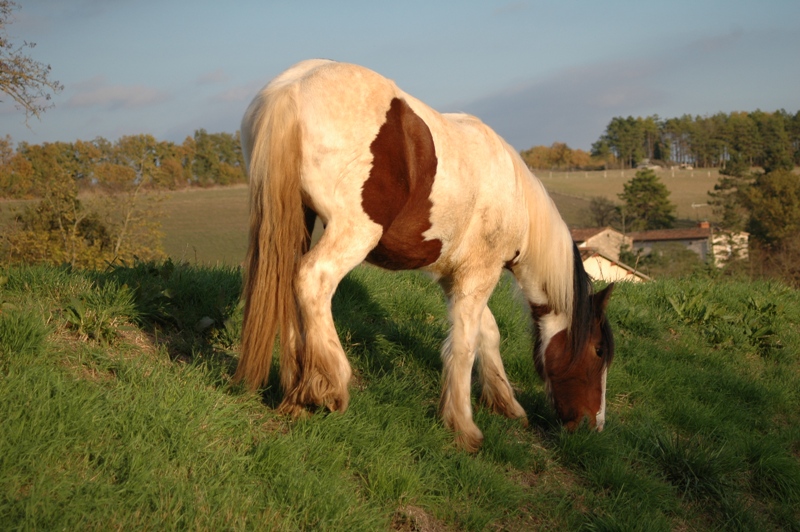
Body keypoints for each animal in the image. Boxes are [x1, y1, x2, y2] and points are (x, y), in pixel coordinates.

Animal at [234, 58, 616, 450]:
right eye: (599, 350)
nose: (593, 425)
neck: (517, 197)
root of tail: (293, 88)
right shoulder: (480, 274)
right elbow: (465, 345)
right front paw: (463, 425)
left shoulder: (456, 277)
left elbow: (487, 332)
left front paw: (506, 404)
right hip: (353, 233)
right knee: (312, 280)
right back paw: (329, 383)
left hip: (296, 220)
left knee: (287, 288)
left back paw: (296, 394)